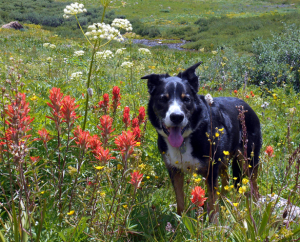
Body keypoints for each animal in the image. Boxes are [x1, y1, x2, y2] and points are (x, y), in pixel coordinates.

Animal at [142, 62, 262, 219]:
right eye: (163, 98)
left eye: (186, 99)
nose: (176, 117)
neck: (187, 138)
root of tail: (247, 106)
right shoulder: (174, 170)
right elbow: (180, 200)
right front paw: (182, 220)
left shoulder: (211, 171)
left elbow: (212, 202)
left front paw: (213, 223)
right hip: (224, 159)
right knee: (226, 179)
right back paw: (225, 202)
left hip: (248, 158)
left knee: (254, 185)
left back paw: (256, 207)